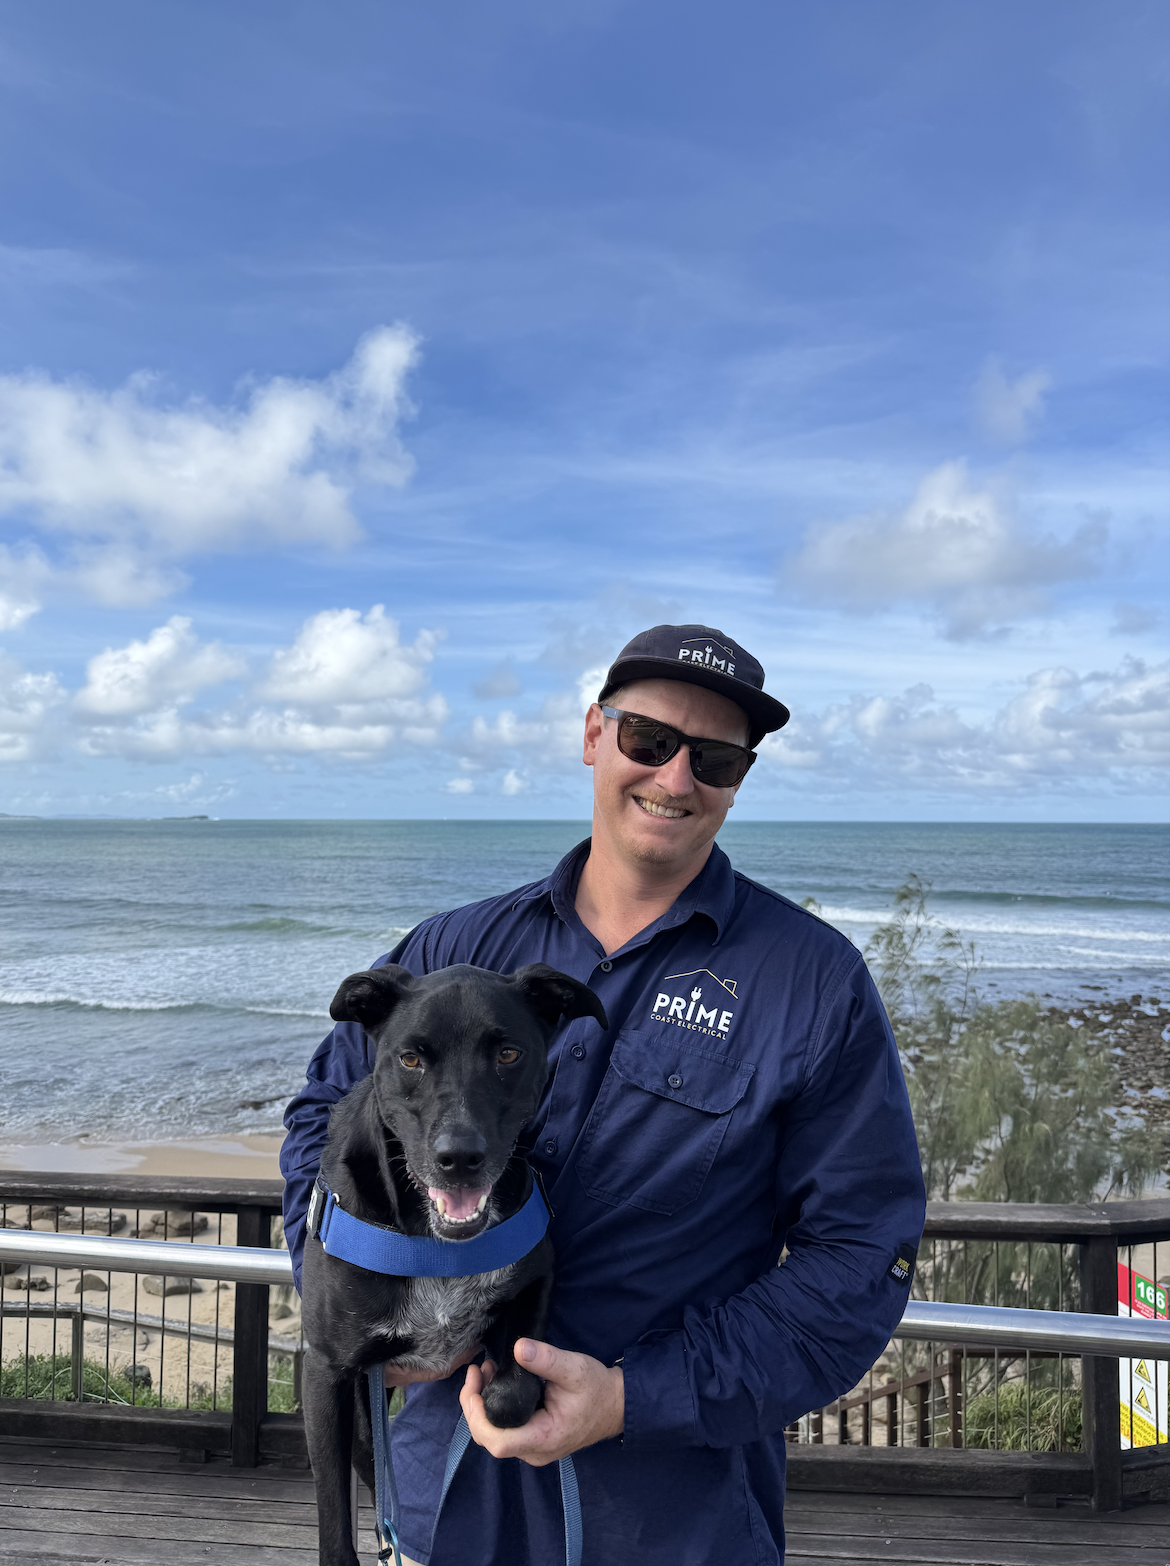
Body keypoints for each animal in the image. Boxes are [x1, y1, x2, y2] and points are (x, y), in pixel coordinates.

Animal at [300, 960, 607, 1566]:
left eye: (508, 1054)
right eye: (410, 1059)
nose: (459, 1157)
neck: (435, 1241)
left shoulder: (537, 1276)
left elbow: (512, 1394)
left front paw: (495, 1388)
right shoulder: (324, 1372)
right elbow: (334, 1517)